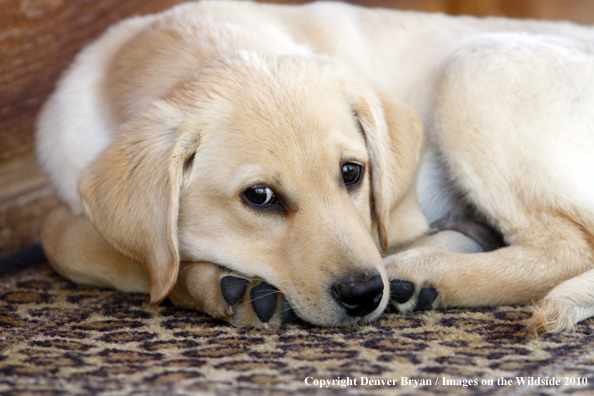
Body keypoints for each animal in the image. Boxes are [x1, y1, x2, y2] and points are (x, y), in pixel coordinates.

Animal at [37, 1, 592, 332]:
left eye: (352, 172)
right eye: (259, 197)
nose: (365, 294)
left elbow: (75, 242)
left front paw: (208, 284)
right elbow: (67, 239)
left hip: (473, 66)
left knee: (569, 247)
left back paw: (426, 271)